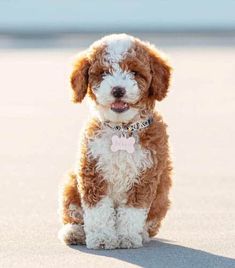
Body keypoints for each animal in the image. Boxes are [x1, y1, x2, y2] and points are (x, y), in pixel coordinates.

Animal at [58, 33, 173, 249]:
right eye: (103, 73)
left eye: (135, 72)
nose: (118, 90)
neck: (122, 130)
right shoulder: (92, 171)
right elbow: (98, 210)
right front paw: (102, 238)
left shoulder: (146, 175)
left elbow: (132, 211)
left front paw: (127, 237)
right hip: (70, 185)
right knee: (75, 214)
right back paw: (75, 232)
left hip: (162, 197)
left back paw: (142, 234)